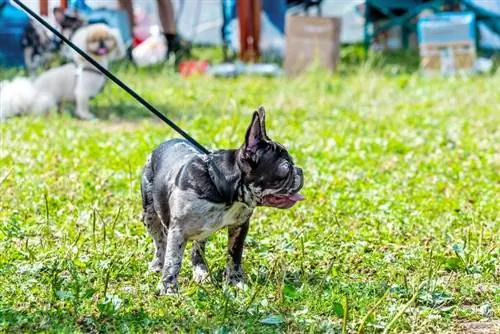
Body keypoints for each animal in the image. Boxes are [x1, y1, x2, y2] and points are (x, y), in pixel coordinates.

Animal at [141, 107, 304, 294]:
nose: (300, 171)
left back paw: (201, 272)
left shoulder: (239, 226)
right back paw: (157, 265)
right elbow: (173, 260)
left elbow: (234, 256)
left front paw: (234, 282)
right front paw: (168, 288)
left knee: (197, 249)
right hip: (149, 216)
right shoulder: (178, 231)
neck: (223, 191)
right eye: (286, 169)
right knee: (160, 242)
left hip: (201, 231)